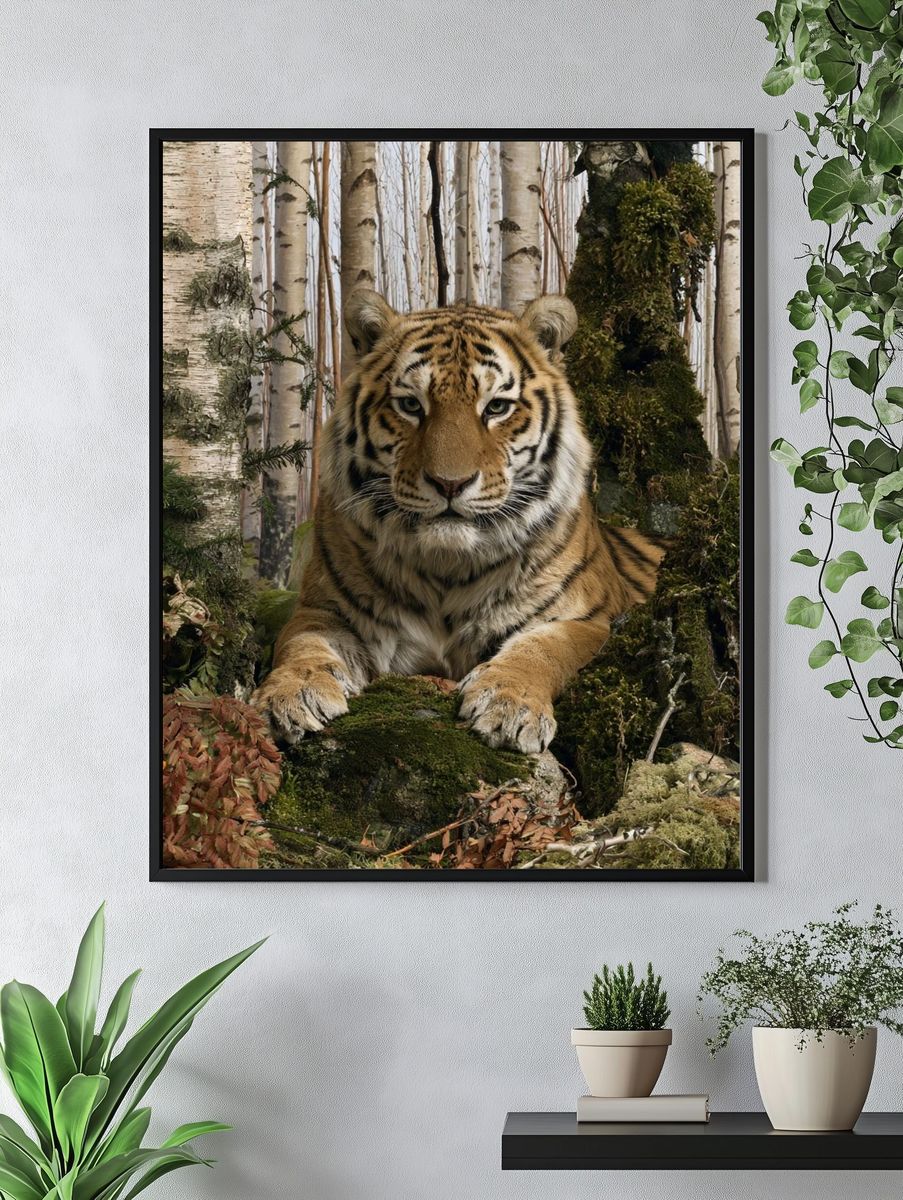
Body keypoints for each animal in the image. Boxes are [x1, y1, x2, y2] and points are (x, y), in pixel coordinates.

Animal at [253, 289, 665, 755]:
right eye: (411, 405)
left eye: (497, 407)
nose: (450, 483)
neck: (446, 567)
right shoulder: (325, 610)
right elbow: (301, 643)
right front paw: (288, 697)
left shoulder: (588, 621)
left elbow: (542, 649)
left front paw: (509, 705)